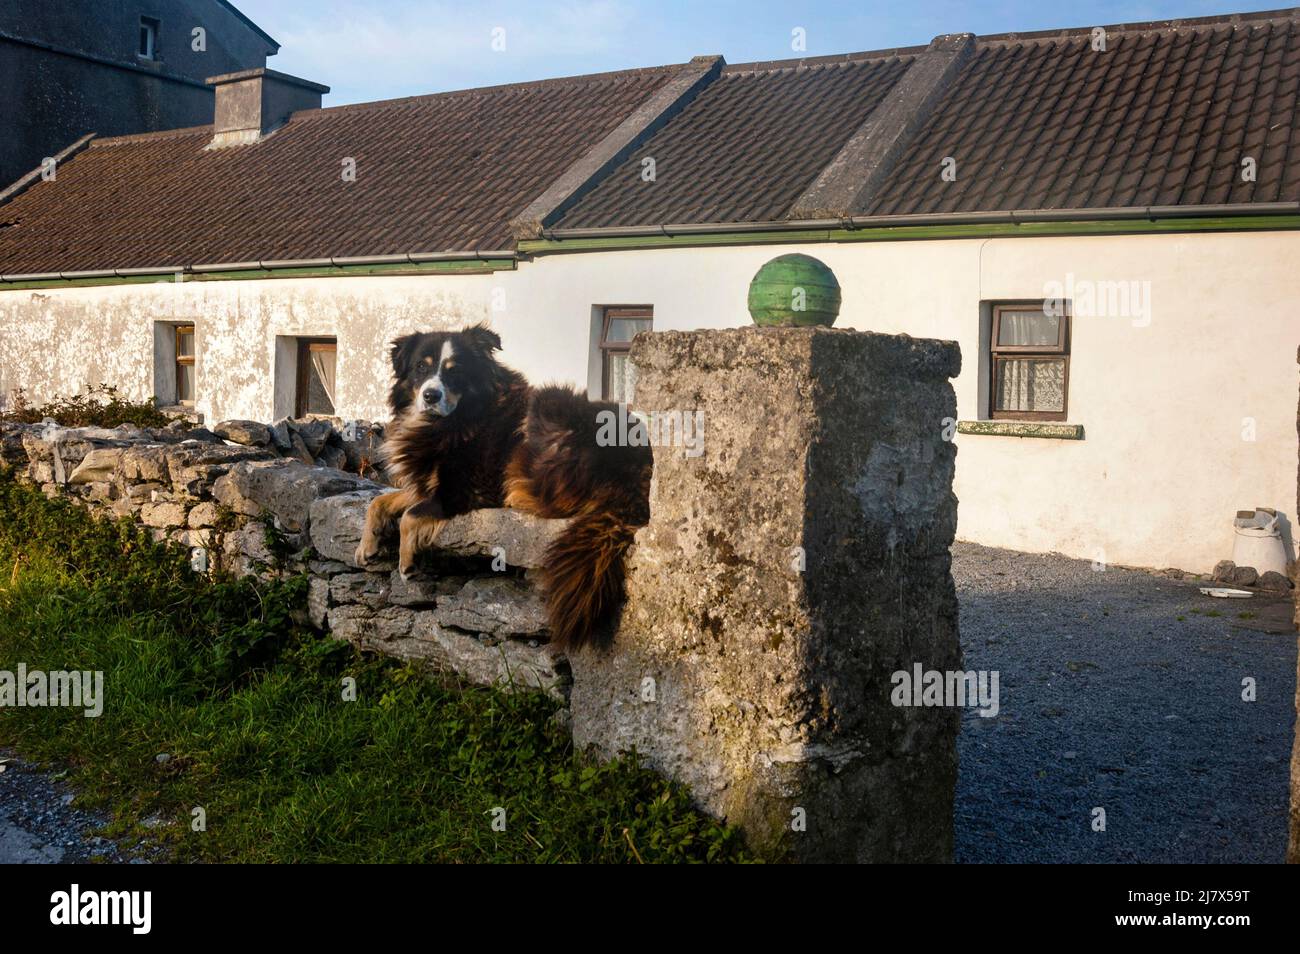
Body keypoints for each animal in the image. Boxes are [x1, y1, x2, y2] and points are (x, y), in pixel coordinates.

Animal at [356, 327, 650, 649]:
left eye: (455, 371)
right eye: (421, 367)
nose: (431, 395)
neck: (453, 419)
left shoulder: (463, 489)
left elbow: (410, 516)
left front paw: (406, 561)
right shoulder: (425, 484)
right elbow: (378, 503)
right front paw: (366, 546)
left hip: (549, 410)